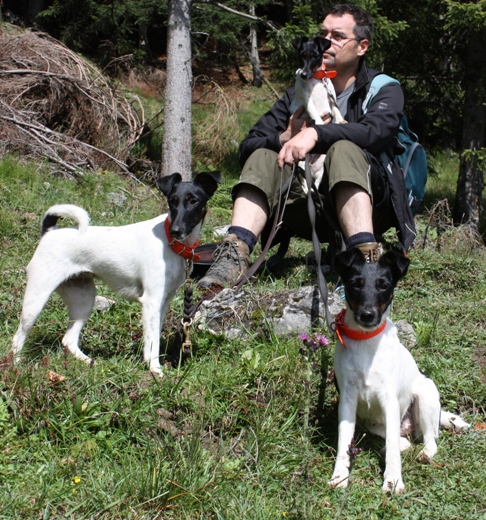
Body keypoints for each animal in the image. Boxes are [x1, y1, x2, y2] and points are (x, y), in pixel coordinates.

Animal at [328, 250, 468, 494]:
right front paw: (340, 476)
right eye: (355, 284)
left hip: (426, 396)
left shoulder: (389, 400)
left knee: (430, 439)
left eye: (383, 285)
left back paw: (424, 453)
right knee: (396, 436)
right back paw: (404, 443)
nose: (367, 315)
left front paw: (393, 480)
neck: (366, 342)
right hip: (371, 421)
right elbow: (344, 441)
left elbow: (392, 445)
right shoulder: (347, 400)